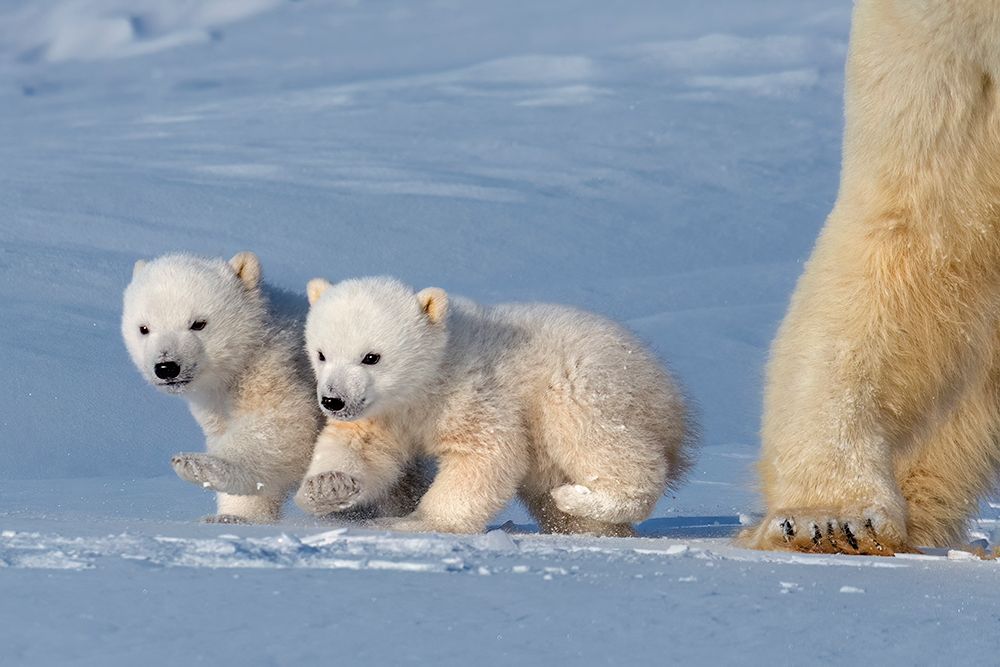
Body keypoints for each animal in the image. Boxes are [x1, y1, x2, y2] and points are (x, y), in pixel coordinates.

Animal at [121, 252, 425, 523]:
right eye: (144, 328)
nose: (166, 367)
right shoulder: (217, 409)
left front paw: (200, 465)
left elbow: (283, 432)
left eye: (198, 323)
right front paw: (232, 516)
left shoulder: (280, 371)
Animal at [293, 276, 695, 536]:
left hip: (584, 386)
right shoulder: (383, 414)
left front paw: (415, 522)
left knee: (598, 441)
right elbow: (359, 447)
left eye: (371, 357)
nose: (333, 400)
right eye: (322, 353)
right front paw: (327, 487)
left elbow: (486, 454)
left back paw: (582, 499)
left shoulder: (472, 390)